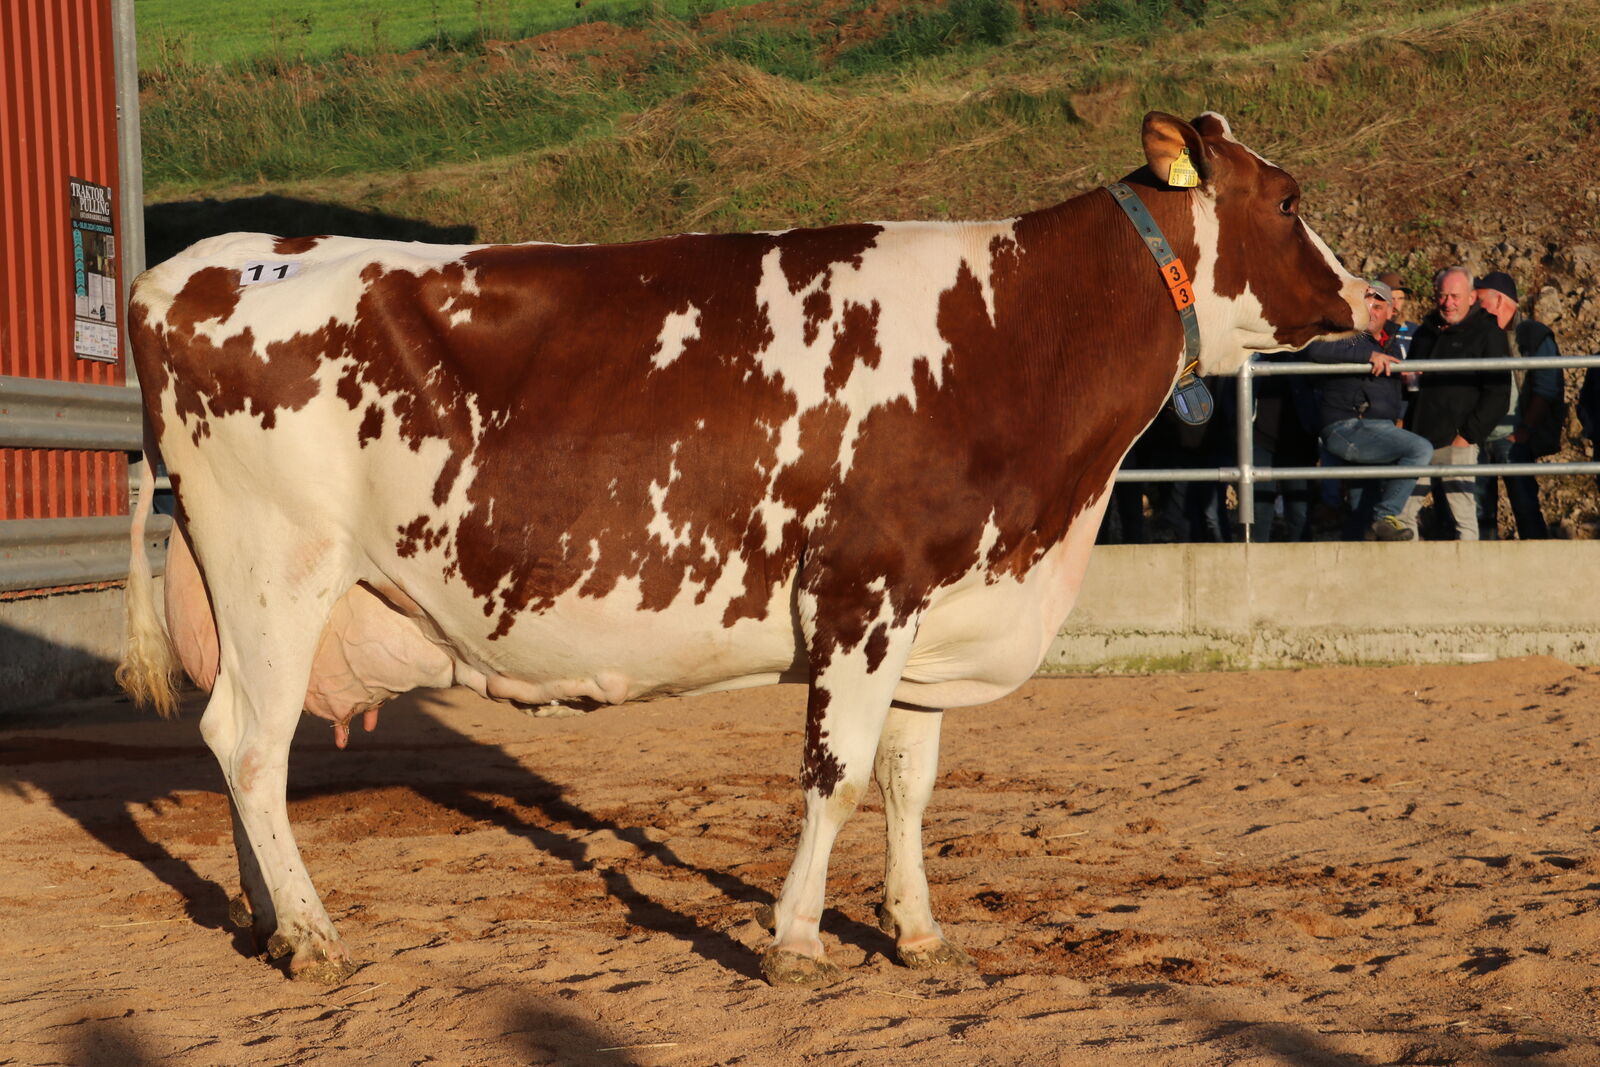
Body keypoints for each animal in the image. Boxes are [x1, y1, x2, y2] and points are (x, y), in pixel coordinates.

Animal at [118, 115, 1363, 985]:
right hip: (276, 565)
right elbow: (837, 774)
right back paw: (311, 933)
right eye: (1291, 197)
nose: (1375, 293)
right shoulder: (865, 588)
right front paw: (794, 939)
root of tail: (187, 267)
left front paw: (917, 933)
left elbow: (910, 782)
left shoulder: (930, 606)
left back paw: (264, 921)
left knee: (238, 743)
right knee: (250, 742)